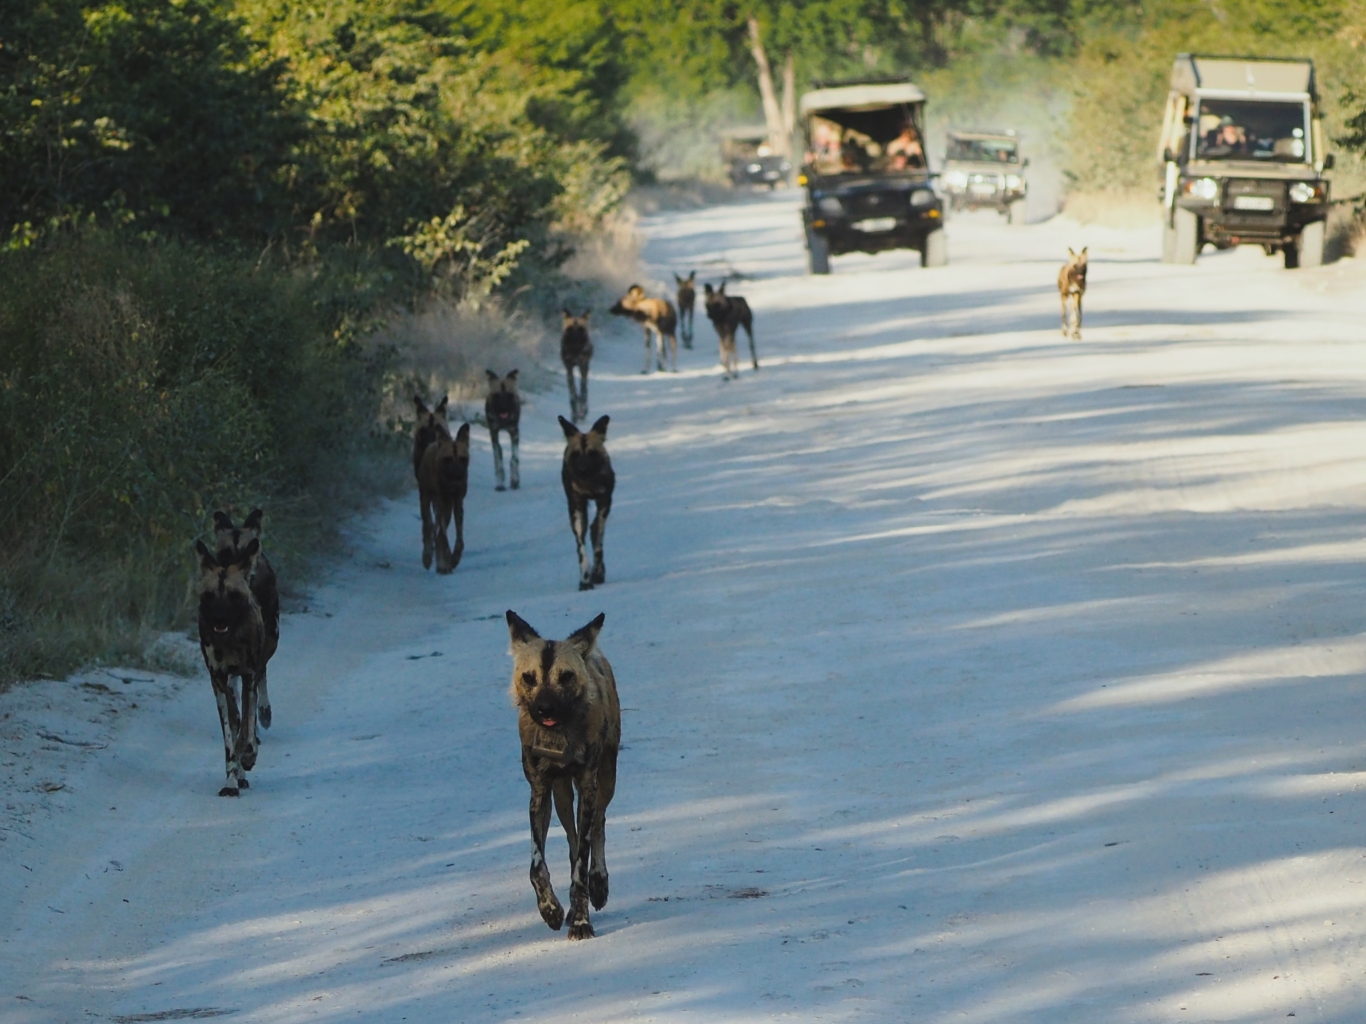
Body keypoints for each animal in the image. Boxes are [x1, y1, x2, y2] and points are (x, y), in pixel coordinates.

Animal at [196, 540, 265, 797]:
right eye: (209, 595)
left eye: (234, 595)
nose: (219, 619)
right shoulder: (218, 680)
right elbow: (230, 737)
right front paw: (231, 782)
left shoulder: (249, 675)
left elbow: (246, 730)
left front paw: (248, 755)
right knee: (236, 719)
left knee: (247, 719)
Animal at [417, 420, 472, 573]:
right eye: (448, 459)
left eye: (463, 459)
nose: (458, 475)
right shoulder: (440, 502)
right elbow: (442, 537)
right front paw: (446, 560)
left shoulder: (457, 504)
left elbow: (459, 541)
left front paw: (453, 559)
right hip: (426, 500)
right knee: (429, 526)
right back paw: (428, 556)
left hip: (447, 508)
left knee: (437, 530)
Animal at [505, 614, 622, 944]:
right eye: (529, 677)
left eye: (566, 676)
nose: (545, 709)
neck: (559, 735)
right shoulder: (540, 791)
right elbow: (537, 866)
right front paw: (551, 909)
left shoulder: (587, 785)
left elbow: (582, 864)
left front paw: (581, 921)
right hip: (561, 797)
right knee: (572, 838)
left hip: (604, 782)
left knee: (597, 826)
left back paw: (598, 884)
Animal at [557, 417, 617, 592]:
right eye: (575, 454)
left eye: (592, 453)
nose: (582, 470)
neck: (588, 483)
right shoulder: (577, 507)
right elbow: (581, 548)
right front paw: (585, 580)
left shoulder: (604, 502)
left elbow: (597, 541)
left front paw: (597, 573)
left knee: (595, 529)